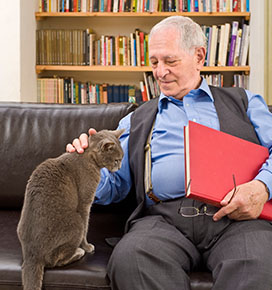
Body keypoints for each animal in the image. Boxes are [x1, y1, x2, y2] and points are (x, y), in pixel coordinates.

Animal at [16, 129, 124, 290]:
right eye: (116, 160)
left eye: (121, 159)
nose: (121, 166)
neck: (87, 157)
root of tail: (31, 256)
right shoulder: (85, 203)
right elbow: (86, 227)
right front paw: (87, 246)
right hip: (75, 221)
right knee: (55, 260)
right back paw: (78, 252)